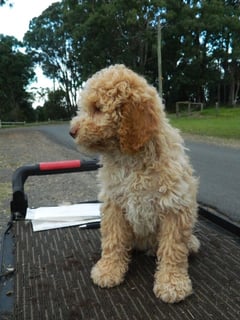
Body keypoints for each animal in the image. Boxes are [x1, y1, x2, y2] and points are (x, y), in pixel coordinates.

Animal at [70, 64, 200, 302]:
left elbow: (173, 247)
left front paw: (172, 283)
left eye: (98, 108)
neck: (131, 159)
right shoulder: (113, 203)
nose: (71, 131)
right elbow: (113, 240)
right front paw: (109, 270)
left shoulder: (174, 205)